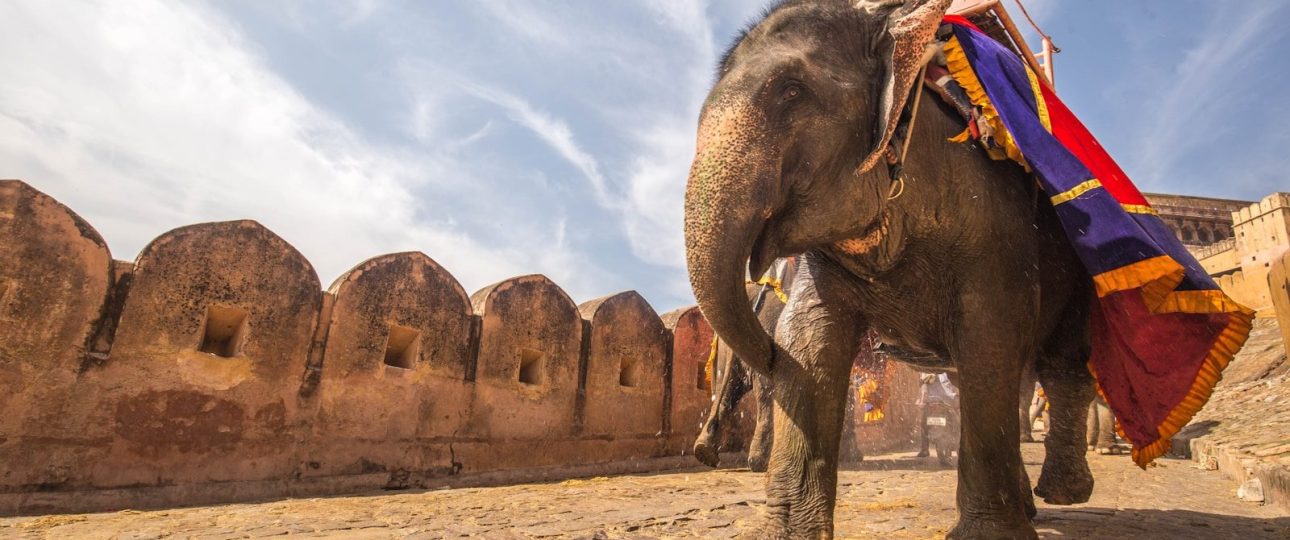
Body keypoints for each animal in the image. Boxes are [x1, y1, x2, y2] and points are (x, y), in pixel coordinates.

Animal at [682, 1, 1097, 538]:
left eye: (792, 91)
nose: (765, 351)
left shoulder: (995, 222)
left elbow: (991, 337)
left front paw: (991, 534)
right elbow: (809, 340)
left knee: (1061, 362)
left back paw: (1064, 492)